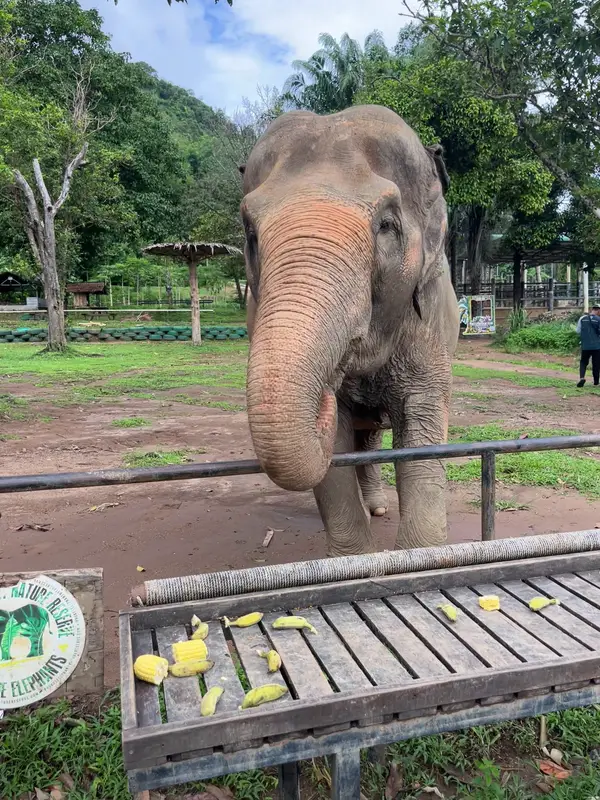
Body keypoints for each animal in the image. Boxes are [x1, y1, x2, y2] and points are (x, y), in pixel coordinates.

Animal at [241, 105, 459, 557]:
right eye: (250, 231)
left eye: (387, 225)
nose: (324, 394)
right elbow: (336, 455)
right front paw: (352, 562)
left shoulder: (428, 322)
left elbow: (421, 429)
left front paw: (422, 557)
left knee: (372, 437)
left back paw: (378, 507)